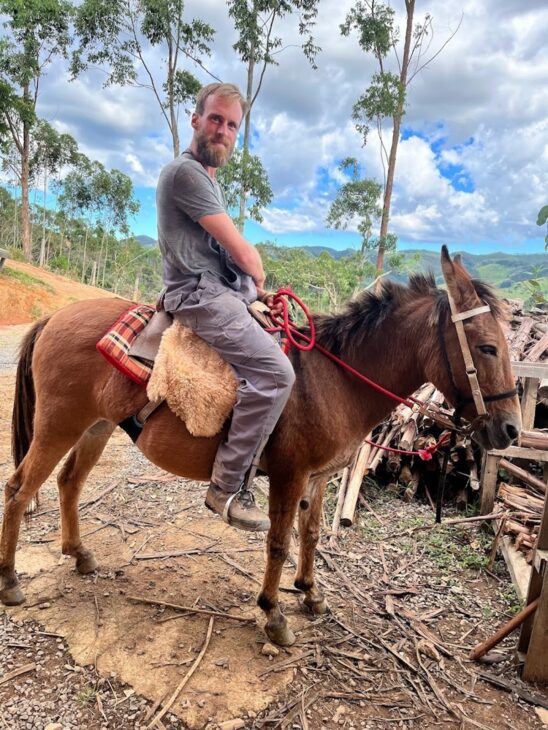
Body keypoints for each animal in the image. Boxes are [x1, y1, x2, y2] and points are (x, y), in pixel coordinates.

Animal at [0, 248, 521, 646]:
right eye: (487, 347)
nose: (513, 430)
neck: (333, 380)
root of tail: (54, 317)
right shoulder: (289, 475)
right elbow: (277, 542)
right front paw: (272, 613)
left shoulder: (318, 477)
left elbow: (310, 535)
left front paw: (310, 592)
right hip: (59, 424)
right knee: (19, 489)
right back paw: (9, 579)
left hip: (96, 426)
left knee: (69, 482)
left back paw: (78, 554)